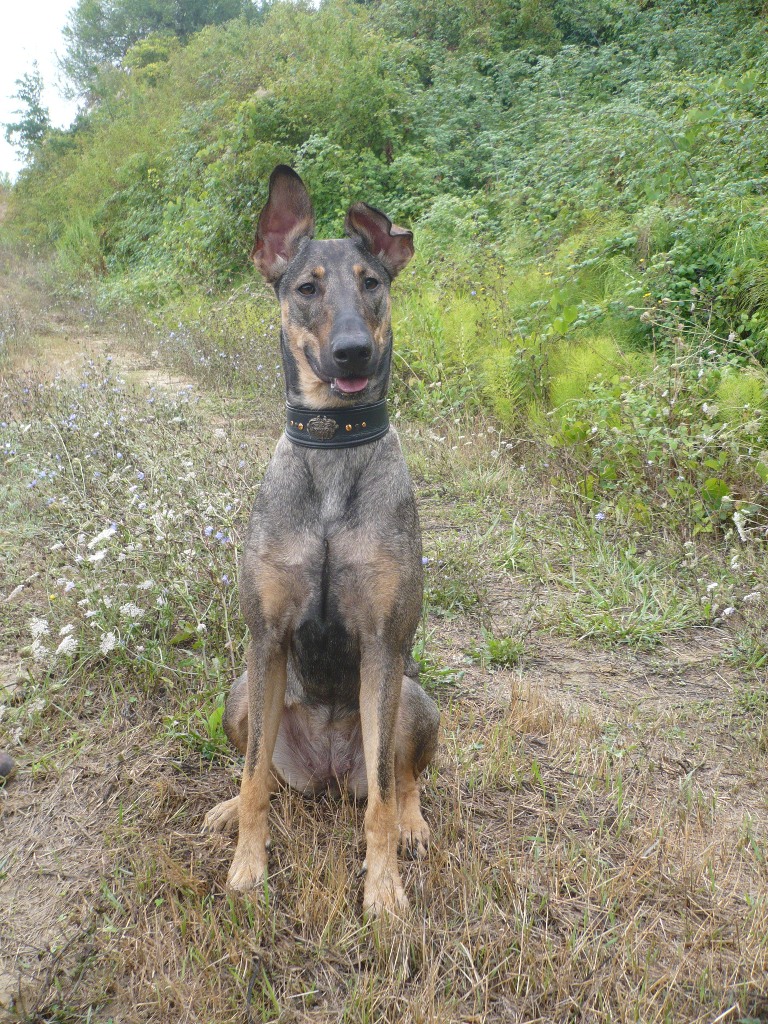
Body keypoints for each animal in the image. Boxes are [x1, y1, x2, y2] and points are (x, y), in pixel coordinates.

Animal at [204, 163, 442, 917]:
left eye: (372, 283)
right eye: (306, 288)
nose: (352, 351)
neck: (335, 447)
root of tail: (331, 772)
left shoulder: (384, 646)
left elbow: (383, 801)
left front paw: (383, 888)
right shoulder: (267, 638)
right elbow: (254, 779)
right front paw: (247, 866)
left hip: (412, 703)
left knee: (399, 779)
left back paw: (412, 826)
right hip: (242, 692)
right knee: (265, 774)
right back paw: (229, 810)